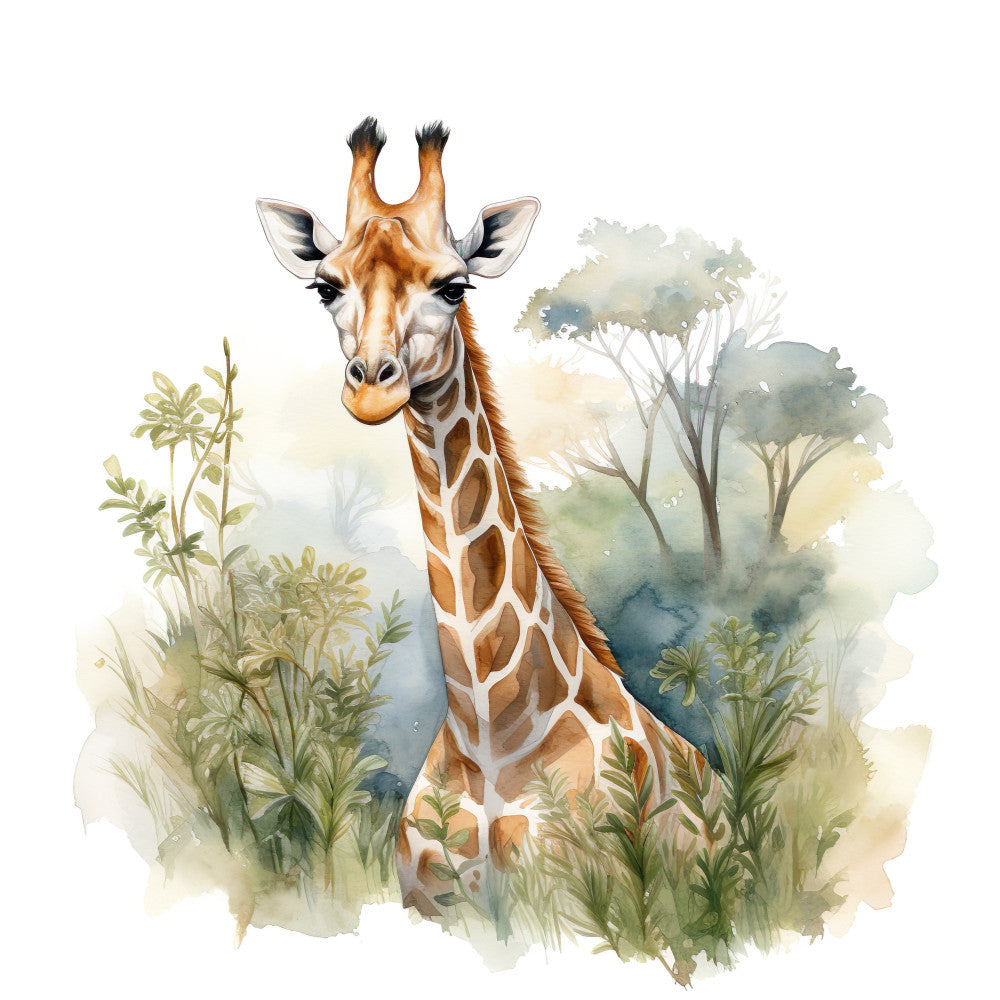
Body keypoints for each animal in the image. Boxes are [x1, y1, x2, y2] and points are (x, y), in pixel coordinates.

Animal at [257, 118, 712, 917]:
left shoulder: (584, 908)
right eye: (325, 287)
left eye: (453, 285)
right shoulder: (435, 907)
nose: (372, 388)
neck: (490, 734)